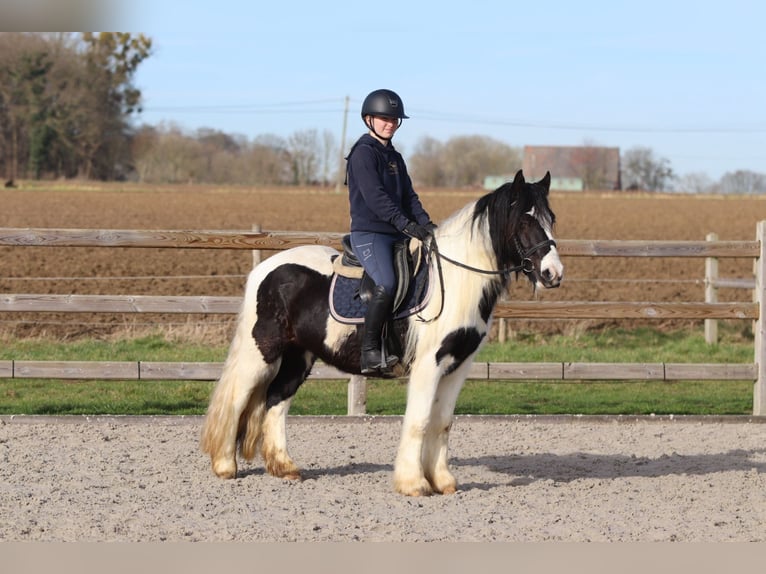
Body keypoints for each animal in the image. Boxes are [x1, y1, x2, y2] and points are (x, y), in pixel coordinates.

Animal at [201, 169, 563, 496]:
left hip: (298, 357)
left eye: (551, 219)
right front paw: (413, 484)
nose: (553, 274)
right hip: (260, 352)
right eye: (524, 221)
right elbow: (419, 421)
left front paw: (443, 481)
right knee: (235, 399)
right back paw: (225, 466)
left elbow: (442, 422)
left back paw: (284, 467)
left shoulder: (458, 365)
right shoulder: (429, 364)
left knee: (276, 399)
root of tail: (265, 268)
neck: (455, 281)